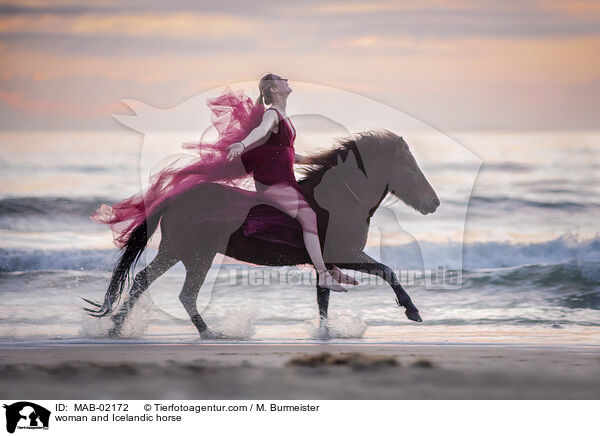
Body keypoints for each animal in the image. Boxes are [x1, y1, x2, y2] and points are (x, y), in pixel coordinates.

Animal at [83, 129, 440, 338]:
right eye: (410, 168)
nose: (433, 203)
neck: (340, 200)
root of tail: (176, 197)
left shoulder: (325, 264)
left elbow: (323, 300)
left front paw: (326, 333)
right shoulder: (344, 254)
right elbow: (387, 271)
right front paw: (413, 311)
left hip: (174, 251)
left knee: (142, 280)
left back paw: (116, 328)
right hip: (198, 256)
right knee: (185, 294)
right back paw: (210, 333)